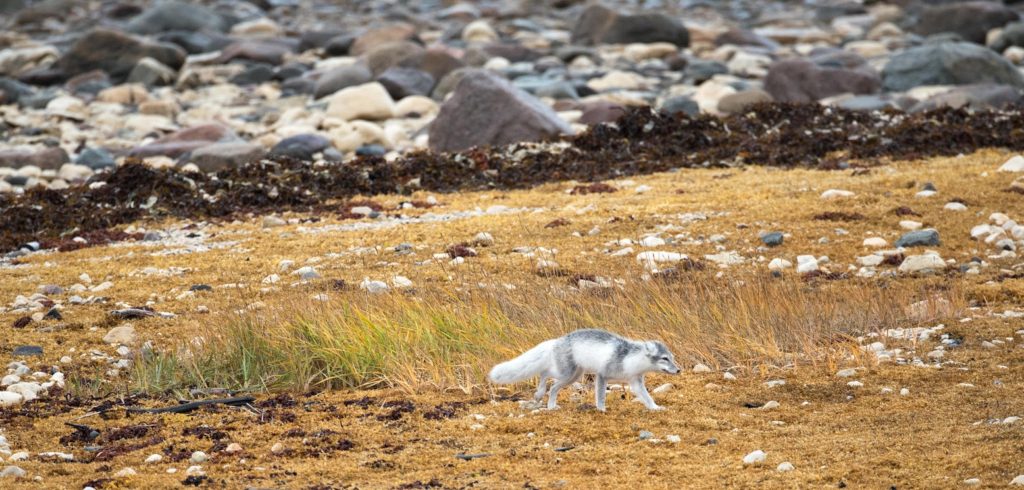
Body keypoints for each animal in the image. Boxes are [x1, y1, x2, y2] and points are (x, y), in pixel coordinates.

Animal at [488, 329, 681, 411]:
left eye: (672, 358)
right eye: (664, 359)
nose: (678, 370)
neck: (630, 359)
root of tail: (557, 340)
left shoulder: (635, 381)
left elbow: (647, 397)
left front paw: (655, 407)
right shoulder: (602, 376)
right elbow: (600, 396)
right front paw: (601, 410)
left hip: (573, 376)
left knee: (552, 386)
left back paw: (550, 405)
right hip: (566, 373)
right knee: (545, 374)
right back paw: (540, 394)